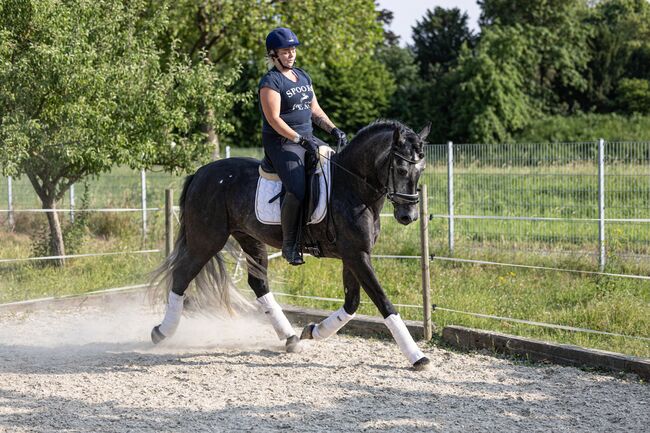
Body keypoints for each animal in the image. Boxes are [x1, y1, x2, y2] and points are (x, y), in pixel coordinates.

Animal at [148, 120, 430, 370]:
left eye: (421, 171)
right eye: (401, 170)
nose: (408, 216)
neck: (352, 188)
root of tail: (200, 173)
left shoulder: (354, 255)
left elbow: (352, 303)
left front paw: (313, 331)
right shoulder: (356, 255)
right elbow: (383, 302)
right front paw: (417, 357)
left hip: (249, 238)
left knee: (258, 283)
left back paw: (290, 337)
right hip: (207, 240)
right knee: (182, 275)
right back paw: (161, 332)